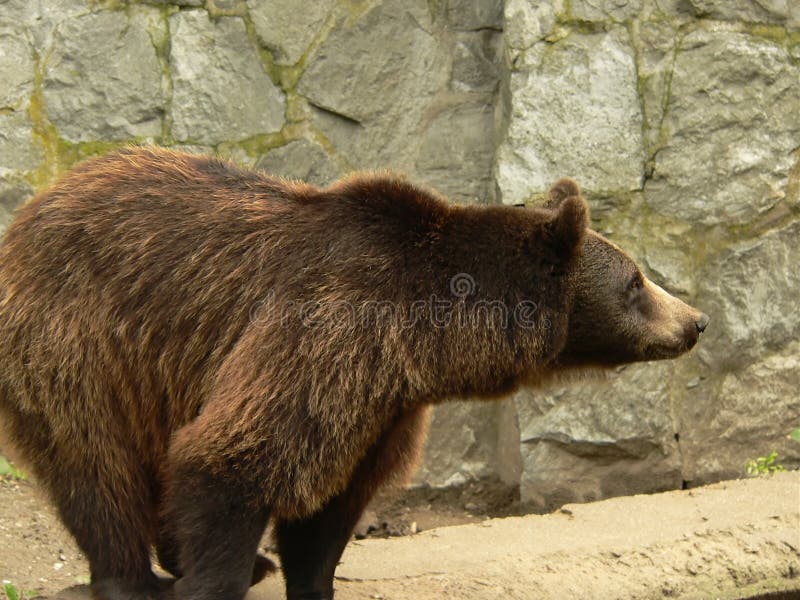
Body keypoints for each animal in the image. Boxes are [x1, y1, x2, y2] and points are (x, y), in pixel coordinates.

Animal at [0, 145, 712, 600]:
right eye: (636, 282)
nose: (697, 320)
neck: (428, 335)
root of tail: (29, 213)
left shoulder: (380, 401)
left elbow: (335, 497)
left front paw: (308, 579)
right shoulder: (328, 330)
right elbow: (234, 455)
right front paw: (215, 581)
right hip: (79, 337)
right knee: (96, 461)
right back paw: (133, 579)